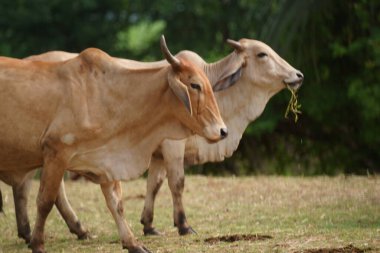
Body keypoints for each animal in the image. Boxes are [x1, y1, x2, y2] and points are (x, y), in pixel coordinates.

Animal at [0, 36, 226, 253]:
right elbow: (45, 201)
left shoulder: (106, 161)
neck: (107, 96)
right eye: (195, 85)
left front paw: (133, 243)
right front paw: (38, 244)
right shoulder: (56, 153)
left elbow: (116, 204)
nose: (223, 131)